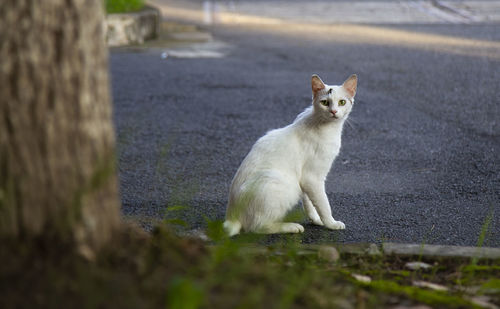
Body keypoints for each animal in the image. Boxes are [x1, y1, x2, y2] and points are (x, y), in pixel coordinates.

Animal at [225, 73, 358, 235]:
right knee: (257, 227)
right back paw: (291, 227)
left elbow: (309, 202)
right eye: (325, 102)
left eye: (342, 102)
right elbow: (323, 203)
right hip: (279, 183)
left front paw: (316, 220)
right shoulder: (313, 177)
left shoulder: (305, 180)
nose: (333, 111)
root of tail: (232, 215)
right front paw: (331, 223)